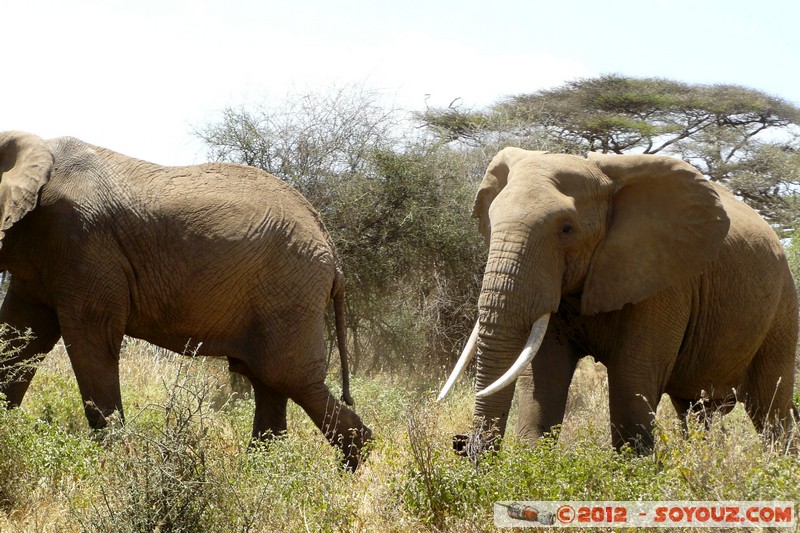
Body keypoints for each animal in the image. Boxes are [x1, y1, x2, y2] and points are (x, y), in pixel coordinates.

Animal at [0, 131, 372, 468]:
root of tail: (330, 246)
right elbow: (19, 335)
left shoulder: (84, 244)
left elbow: (91, 338)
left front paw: (114, 464)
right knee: (267, 381)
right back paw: (259, 473)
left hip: (291, 286)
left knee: (289, 377)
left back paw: (349, 466)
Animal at [440, 148, 796, 456]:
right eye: (490, 222)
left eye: (566, 229)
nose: (460, 443)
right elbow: (545, 376)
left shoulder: (663, 278)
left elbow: (632, 377)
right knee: (695, 409)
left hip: (783, 305)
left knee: (771, 407)